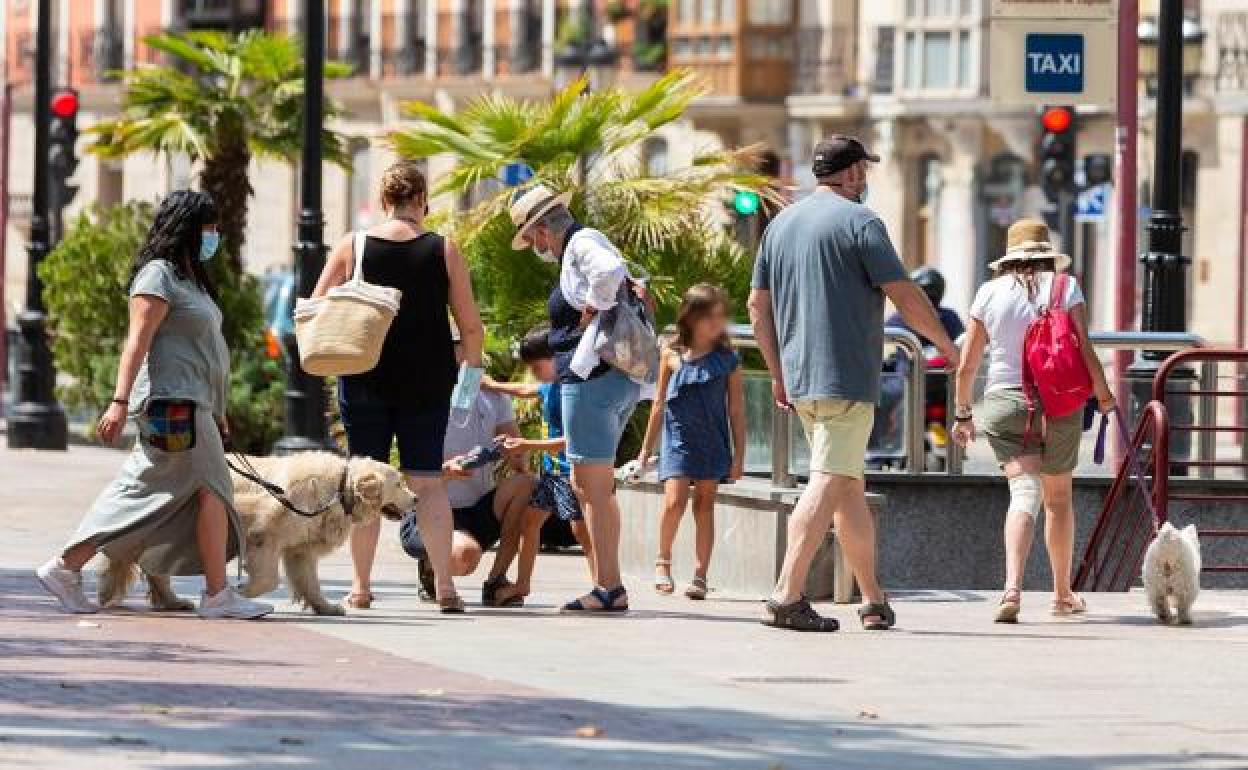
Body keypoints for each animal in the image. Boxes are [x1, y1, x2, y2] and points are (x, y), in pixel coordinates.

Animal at [101, 454, 414, 616]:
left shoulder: (301, 546)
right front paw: (241, 592)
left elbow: (308, 579)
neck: (339, 488)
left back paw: (171, 601)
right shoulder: (265, 533)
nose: (417, 499)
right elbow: (268, 579)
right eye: (399, 483)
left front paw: (325, 606)